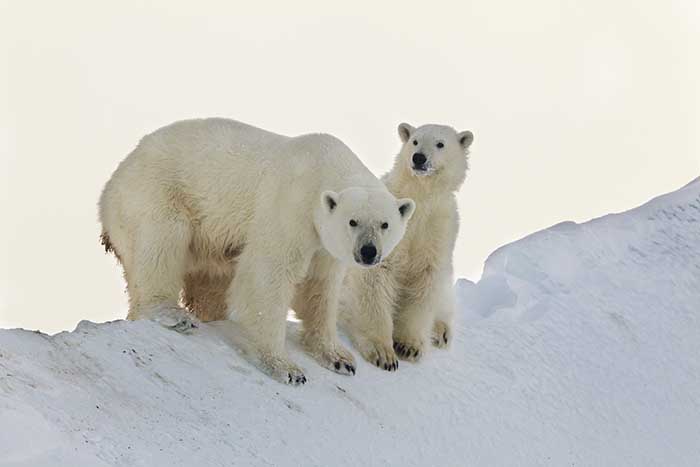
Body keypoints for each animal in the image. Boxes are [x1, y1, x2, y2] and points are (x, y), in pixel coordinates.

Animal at [99, 119, 416, 386]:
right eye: (353, 221)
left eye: (384, 224)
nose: (368, 252)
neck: (325, 167)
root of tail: (110, 185)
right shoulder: (290, 207)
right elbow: (266, 276)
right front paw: (286, 368)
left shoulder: (324, 244)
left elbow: (320, 287)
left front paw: (339, 358)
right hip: (157, 191)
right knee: (161, 240)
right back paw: (171, 313)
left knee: (209, 284)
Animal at [340, 122, 474, 372]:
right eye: (414, 140)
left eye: (440, 143)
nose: (419, 157)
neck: (420, 198)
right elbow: (374, 280)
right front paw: (383, 353)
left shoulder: (437, 229)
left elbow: (426, 280)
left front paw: (408, 346)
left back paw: (441, 331)